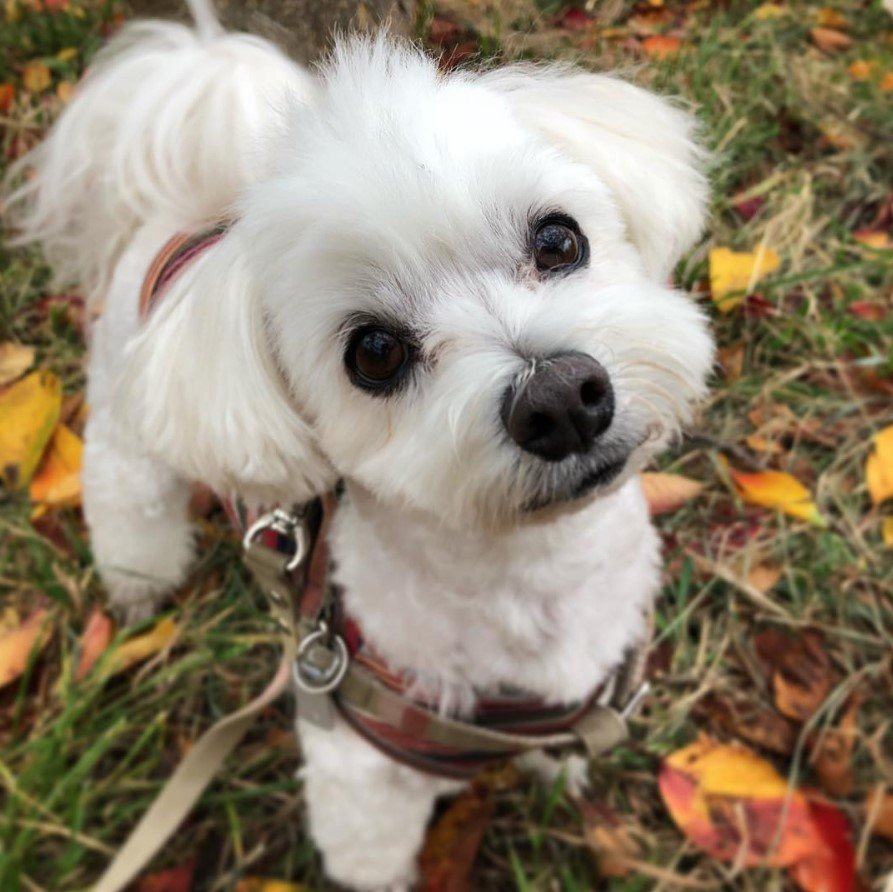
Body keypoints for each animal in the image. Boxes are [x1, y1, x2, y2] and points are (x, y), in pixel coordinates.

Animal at [1, 3, 712, 888]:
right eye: (373, 354)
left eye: (557, 241)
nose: (558, 399)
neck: (532, 578)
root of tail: (183, 207)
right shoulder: (360, 768)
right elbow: (370, 852)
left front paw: (559, 772)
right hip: (129, 428)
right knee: (126, 499)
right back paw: (139, 584)